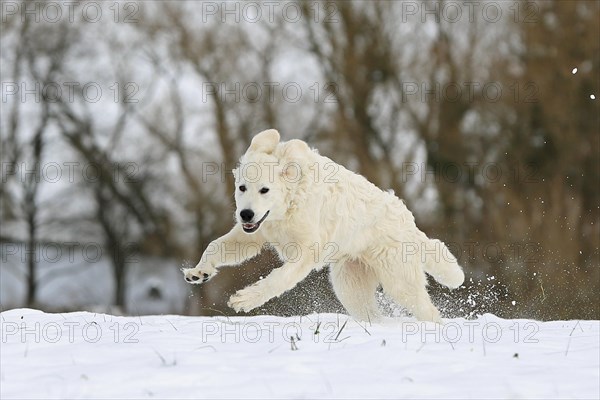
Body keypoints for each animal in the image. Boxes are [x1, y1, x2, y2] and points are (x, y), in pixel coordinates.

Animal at [183, 130, 464, 324]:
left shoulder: (307, 251)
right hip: (349, 285)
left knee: (428, 310)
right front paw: (199, 272)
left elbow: (278, 279)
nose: (245, 214)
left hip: (399, 281)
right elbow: (216, 246)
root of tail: (410, 223)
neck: (289, 204)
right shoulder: (254, 233)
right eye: (242, 187)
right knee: (372, 314)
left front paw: (245, 299)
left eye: (265, 189)